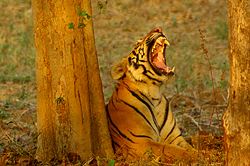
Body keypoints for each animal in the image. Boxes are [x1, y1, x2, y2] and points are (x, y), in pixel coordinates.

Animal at [106, 27, 198, 161]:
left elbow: (188, 147)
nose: (158, 29)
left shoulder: (175, 137)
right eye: (138, 42)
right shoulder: (140, 142)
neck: (155, 94)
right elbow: (171, 149)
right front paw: (198, 156)